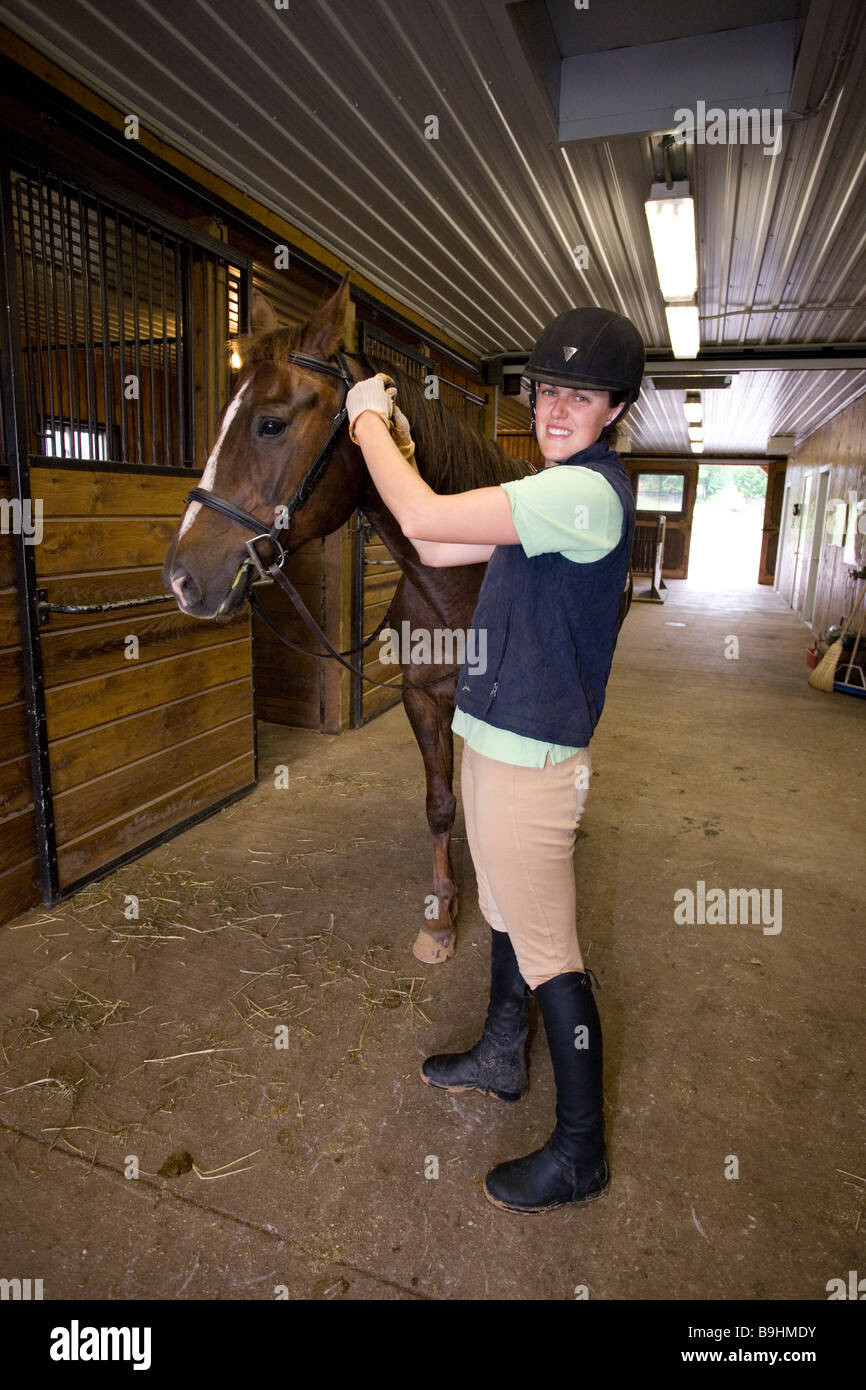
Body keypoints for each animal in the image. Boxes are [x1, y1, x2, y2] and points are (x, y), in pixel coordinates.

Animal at [162, 272, 631, 967]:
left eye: (271, 424)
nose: (182, 578)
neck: (459, 589)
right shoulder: (422, 697)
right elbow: (441, 803)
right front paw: (442, 911)